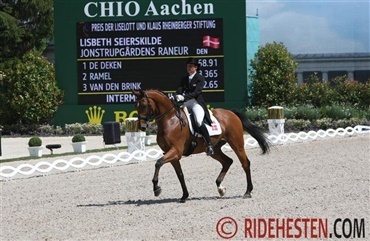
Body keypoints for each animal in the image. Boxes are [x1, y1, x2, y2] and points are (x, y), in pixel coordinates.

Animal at [132, 88, 270, 201]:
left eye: (144, 105)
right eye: (136, 106)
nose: (142, 127)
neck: (170, 120)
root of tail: (231, 113)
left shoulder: (176, 151)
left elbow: (158, 163)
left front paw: (156, 189)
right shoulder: (173, 155)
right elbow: (180, 174)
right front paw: (184, 196)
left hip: (237, 144)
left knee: (245, 163)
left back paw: (247, 191)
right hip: (215, 149)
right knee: (227, 161)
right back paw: (220, 188)